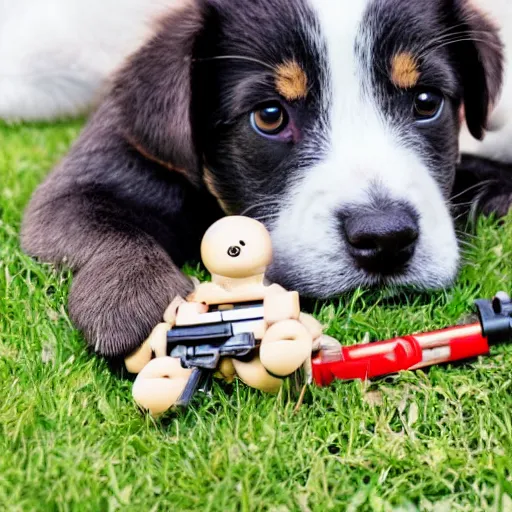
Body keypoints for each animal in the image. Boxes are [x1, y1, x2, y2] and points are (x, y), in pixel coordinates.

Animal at [21, 0, 508, 358]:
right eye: (270, 116)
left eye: (426, 101)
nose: (385, 238)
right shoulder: (89, 176)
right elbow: (102, 224)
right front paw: (136, 299)